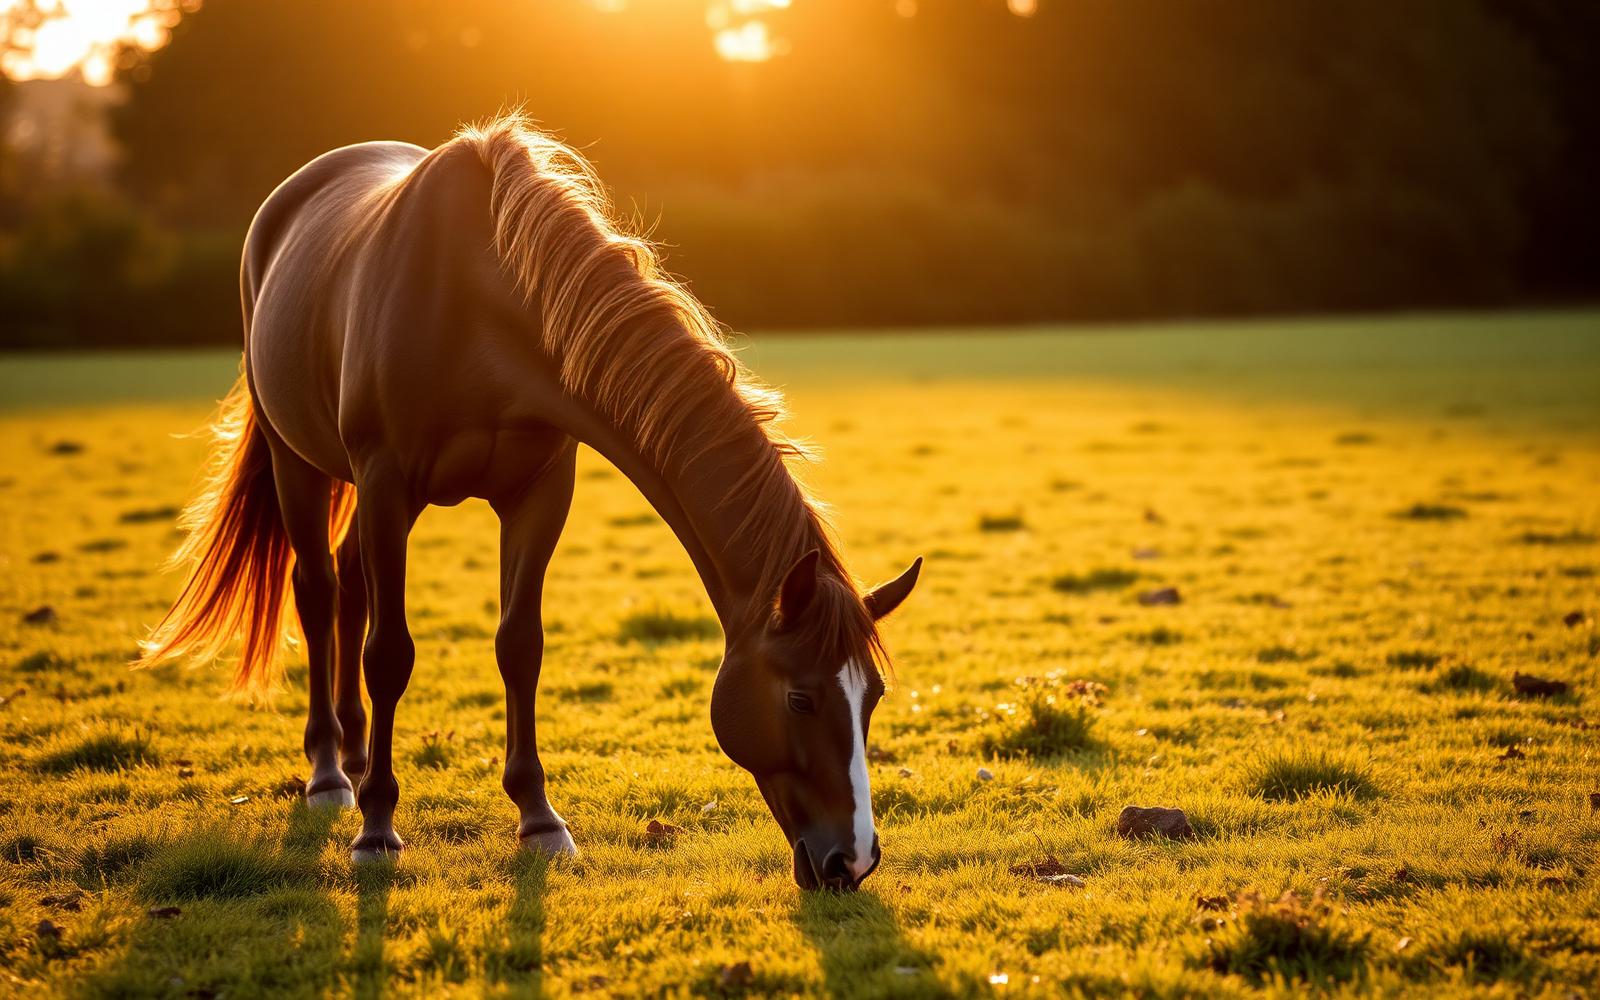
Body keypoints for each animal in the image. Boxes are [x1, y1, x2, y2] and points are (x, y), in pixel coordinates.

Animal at [137, 113, 921, 891]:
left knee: (352, 583)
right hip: (298, 462)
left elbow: (521, 646)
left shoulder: (540, 492)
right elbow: (390, 653)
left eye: (875, 696)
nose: (852, 859)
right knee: (320, 591)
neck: (476, 304)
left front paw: (539, 819)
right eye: (800, 698)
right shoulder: (387, 481)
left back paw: (357, 759)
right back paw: (332, 776)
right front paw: (378, 830)